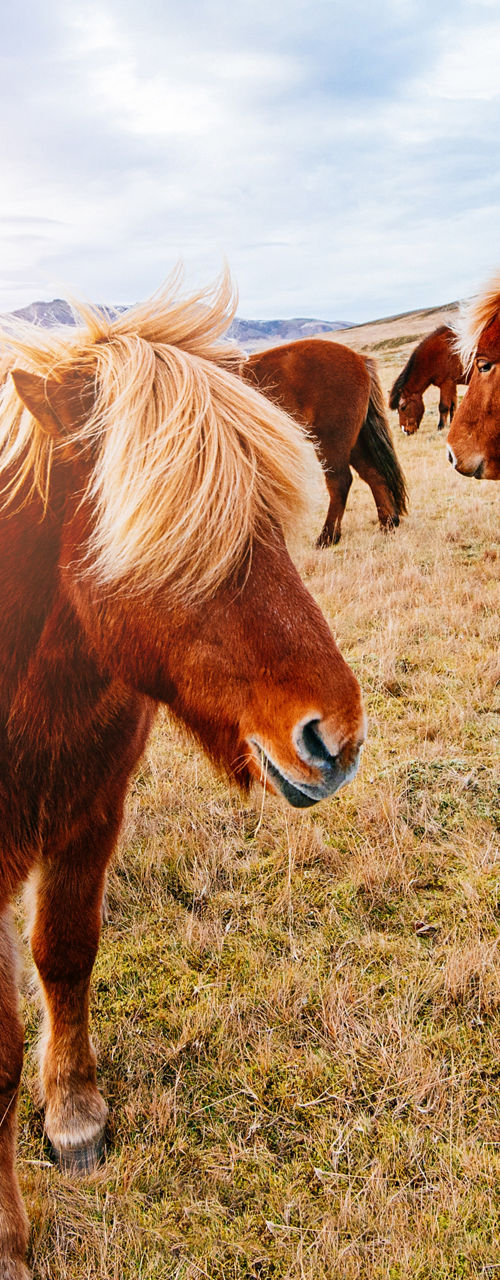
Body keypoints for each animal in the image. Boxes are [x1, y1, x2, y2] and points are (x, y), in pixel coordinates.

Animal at [0, 274, 366, 1278]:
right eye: (171, 537)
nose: (337, 738)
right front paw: (8, 1237)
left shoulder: (91, 810)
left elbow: (67, 954)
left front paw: (74, 1114)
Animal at [242, 339, 407, 547]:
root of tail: (359, 359)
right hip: (353, 443)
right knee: (373, 475)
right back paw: (387, 523)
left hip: (331, 441)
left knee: (340, 482)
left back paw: (328, 536)